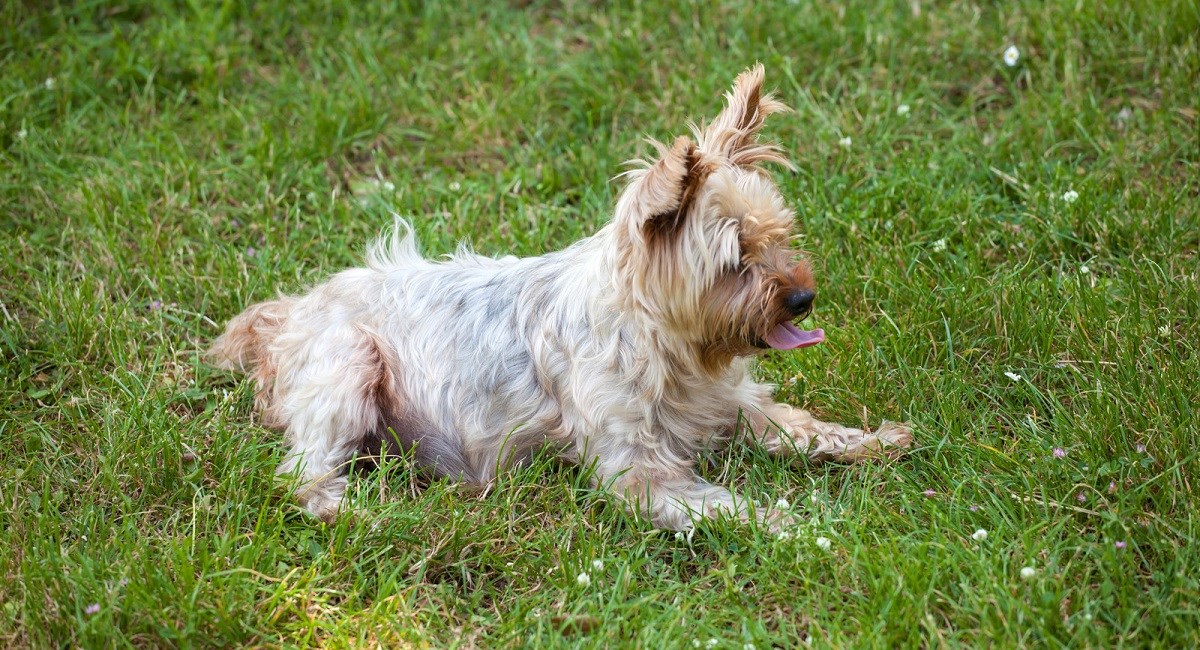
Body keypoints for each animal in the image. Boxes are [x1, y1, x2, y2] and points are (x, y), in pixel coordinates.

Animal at [213, 66, 907, 532]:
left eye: (780, 238)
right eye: (735, 263)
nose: (804, 298)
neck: (663, 341)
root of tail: (287, 315)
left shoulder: (731, 402)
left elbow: (792, 423)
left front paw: (868, 440)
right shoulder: (638, 469)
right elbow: (723, 505)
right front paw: (802, 527)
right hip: (349, 363)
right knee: (301, 474)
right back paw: (354, 511)